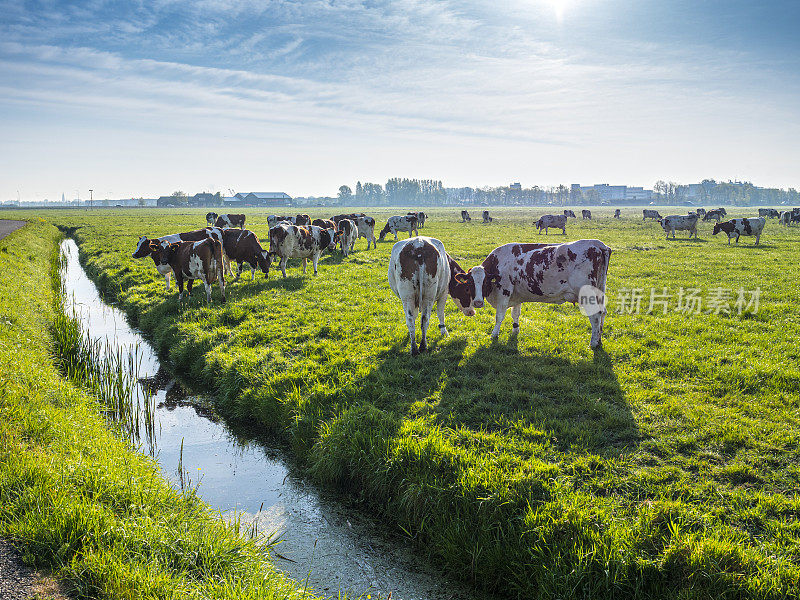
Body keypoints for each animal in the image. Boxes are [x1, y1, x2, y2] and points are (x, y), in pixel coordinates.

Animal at [446, 239, 608, 350]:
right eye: (470, 285)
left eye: (485, 282)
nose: (478, 302)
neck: (498, 263)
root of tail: (598, 244)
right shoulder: (517, 295)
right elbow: (515, 314)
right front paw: (515, 330)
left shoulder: (504, 292)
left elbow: (499, 316)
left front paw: (494, 334)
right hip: (600, 290)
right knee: (603, 313)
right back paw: (599, 339)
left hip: (587, 295)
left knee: (595, 316)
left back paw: (593, 342)